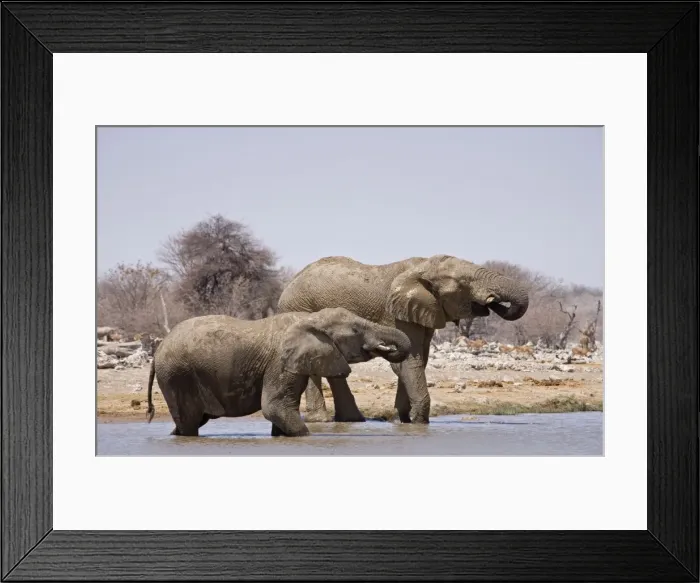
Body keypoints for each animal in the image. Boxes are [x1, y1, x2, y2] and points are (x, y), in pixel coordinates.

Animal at [145, 307, 412, 437]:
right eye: (356, 330)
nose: (391, 350)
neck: (311, 318)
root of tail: (158, 351)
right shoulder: (279, 362)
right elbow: (275, 407)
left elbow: (281, 410)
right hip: (177, 376)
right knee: (190, 422)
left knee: (188, 424)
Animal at [277, 254, 529, 424]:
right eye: (463, 284)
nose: (493, 300)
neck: (423, 266)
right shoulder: (397, 313)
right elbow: (410, 361)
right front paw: (418, 422)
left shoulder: (425, 311)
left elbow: (418, 361)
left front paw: (403, 420)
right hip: (300, 309)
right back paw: (321, 420)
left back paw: (352, 420)